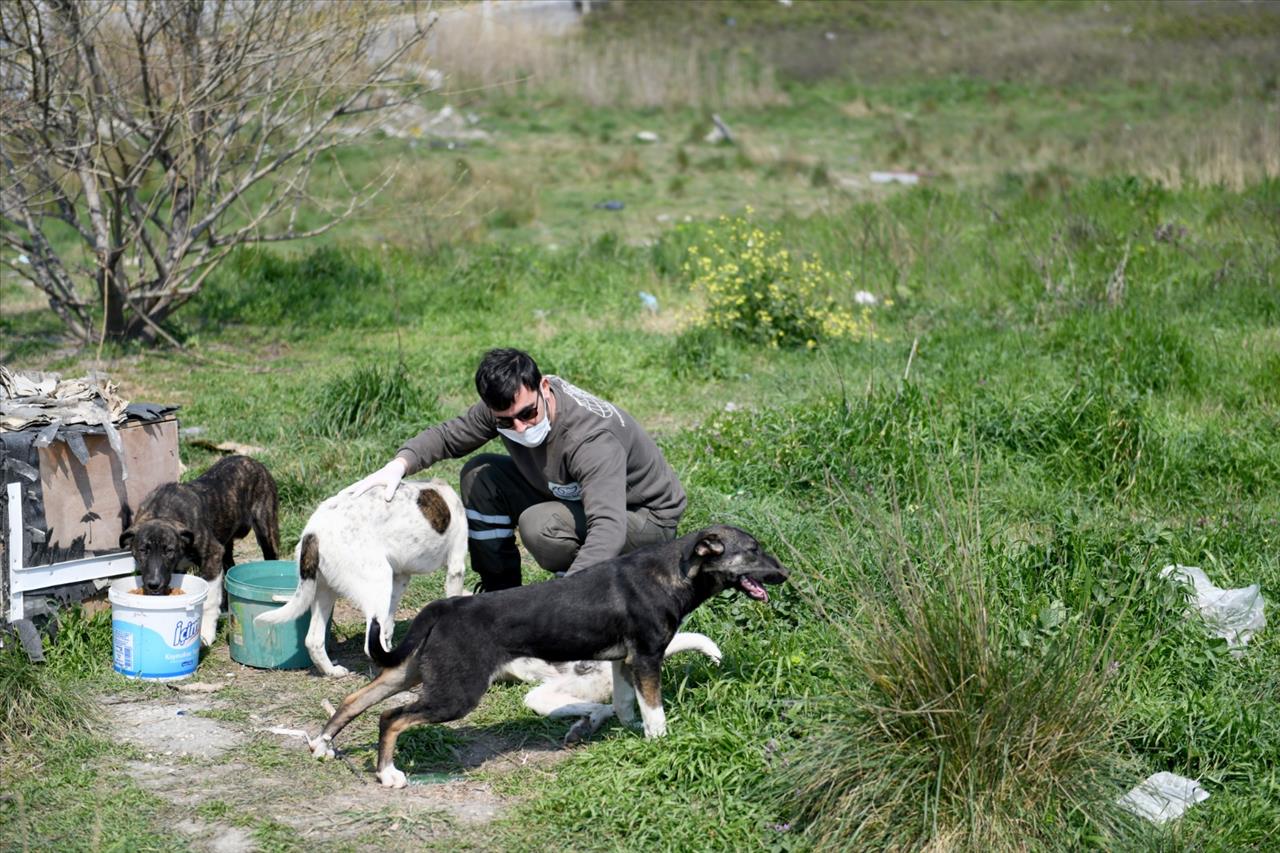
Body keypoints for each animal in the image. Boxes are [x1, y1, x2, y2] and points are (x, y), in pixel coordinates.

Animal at [120, 450, 280, 645]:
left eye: (169, 551)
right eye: (143, 551)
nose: (153, 584)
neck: (162, 512)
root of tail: (251, 460)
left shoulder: (212, 555)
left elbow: (209, 599)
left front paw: (206, 633)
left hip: (266, 528)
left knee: (271, 555)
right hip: (226, 542)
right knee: (229, 565)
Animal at [253, 479, 465, 671]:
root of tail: (313, 533)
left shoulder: (400, 577)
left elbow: (388, 626)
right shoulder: (456, 567)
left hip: (325, 591)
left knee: (314, 640)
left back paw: (333, 672)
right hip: (379, 581)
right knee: (369, 646)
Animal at [309, 522, 788, 788]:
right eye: (753, 551)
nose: (784, 574)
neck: (674, 573)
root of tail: (444, 606)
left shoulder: (622, 662)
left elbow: (623, 705)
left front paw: (620, 730)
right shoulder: (648, 658)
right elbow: (655, 713)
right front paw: (660, 743)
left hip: (409, 673)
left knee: (356, 701)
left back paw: (322, 745)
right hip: (455, 694)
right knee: (390, 718)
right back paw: (388, 775)